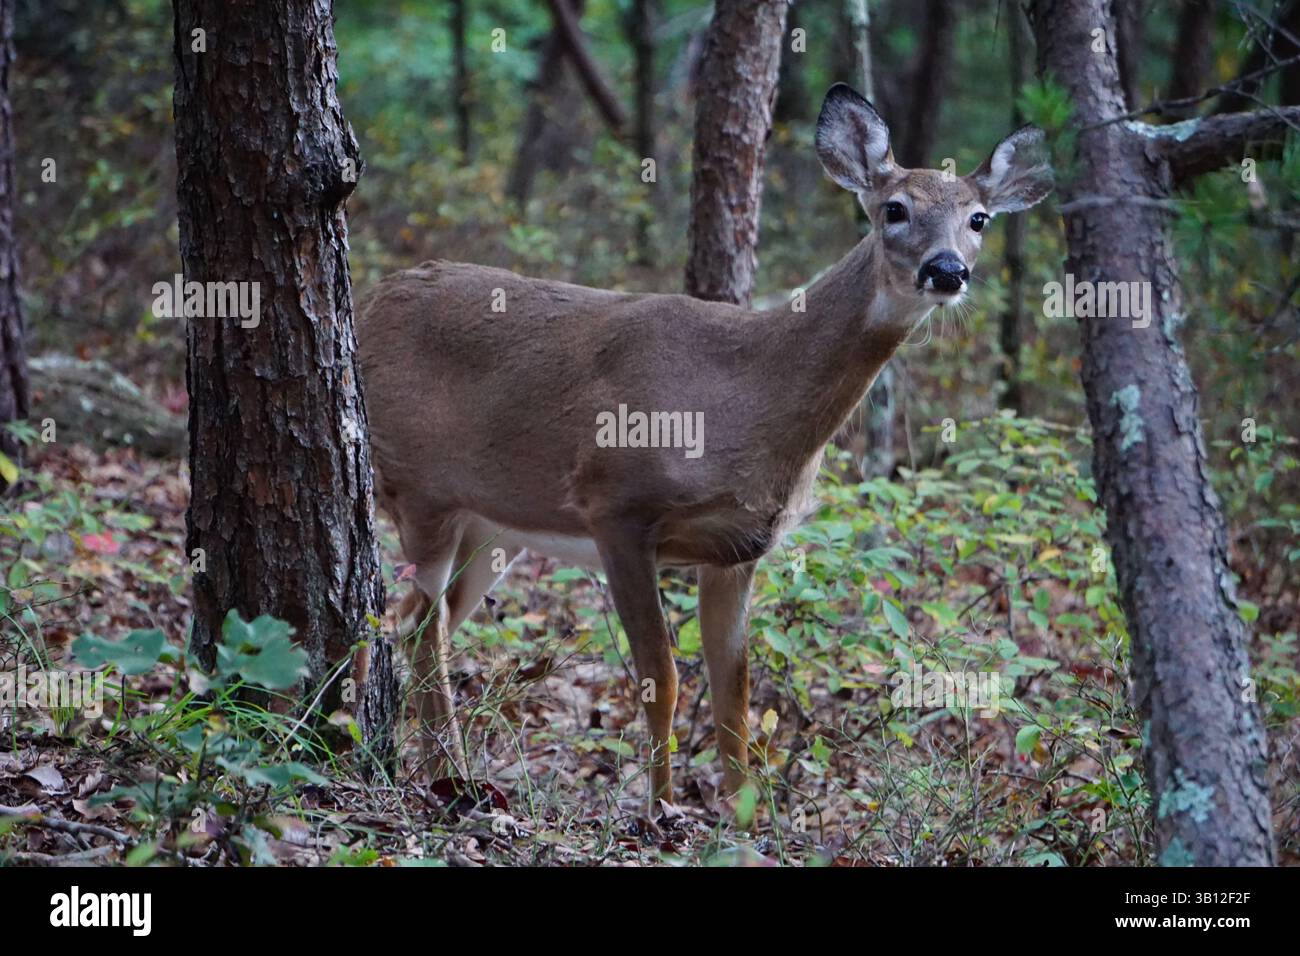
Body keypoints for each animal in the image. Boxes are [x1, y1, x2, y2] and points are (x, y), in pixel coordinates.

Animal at [357, 84, 1052, 806]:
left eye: (979, 220)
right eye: (895, 208)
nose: (946, 271)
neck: (749, 403)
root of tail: (369, 302)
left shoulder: (738, 550)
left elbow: (733, 702)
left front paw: (739, 816)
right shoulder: (617, 505)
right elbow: (661, 678)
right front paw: (659, 807)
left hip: (493, 526)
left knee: (418, 625)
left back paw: (442, 772)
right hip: (421, 490)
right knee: (407, 625)